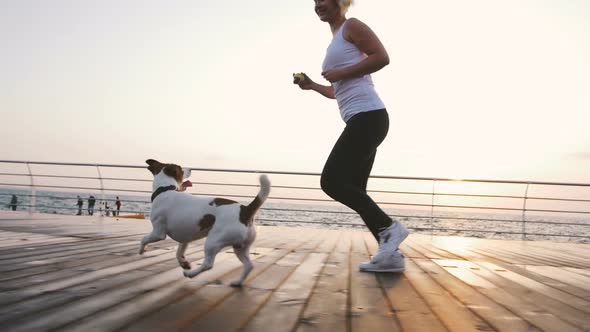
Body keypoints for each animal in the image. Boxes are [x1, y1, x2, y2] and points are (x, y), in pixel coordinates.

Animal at [140, 160, 272, 286]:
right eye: (182, 169)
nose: (190, 169)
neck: (165, 189)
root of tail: (245, 210)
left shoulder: (158, 233)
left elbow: (144, 239)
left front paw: (142, 250)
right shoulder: (185, 238)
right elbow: (179, 253)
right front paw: (184, 263)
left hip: (213, 242)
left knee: (208, 264)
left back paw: (191, 274)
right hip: (240, 248)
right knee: (249, 266)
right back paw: (237, 282)